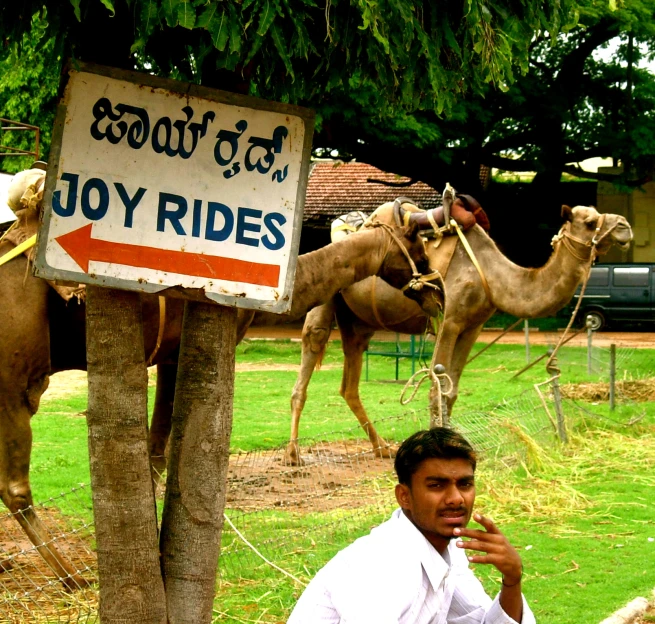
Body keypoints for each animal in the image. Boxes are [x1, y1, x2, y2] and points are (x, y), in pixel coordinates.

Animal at [0, 171, 444, 588]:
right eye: (419, 247)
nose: (438, 289)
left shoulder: (168, 354)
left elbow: (158, 453)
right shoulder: (182, 349)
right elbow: (160, 454)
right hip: (12, 375)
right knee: (15, 486)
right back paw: (70, 577)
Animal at [284, 202, 632, 466]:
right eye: (590, 222)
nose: (625, 226)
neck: (493, 275)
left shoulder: (472, 326)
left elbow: (450, 391)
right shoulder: (449, 320)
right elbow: (435, 389)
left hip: (359, 322)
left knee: (349, 385)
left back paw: (381, 447)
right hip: (327, 301)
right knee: (310, 356)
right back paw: (293, 454)